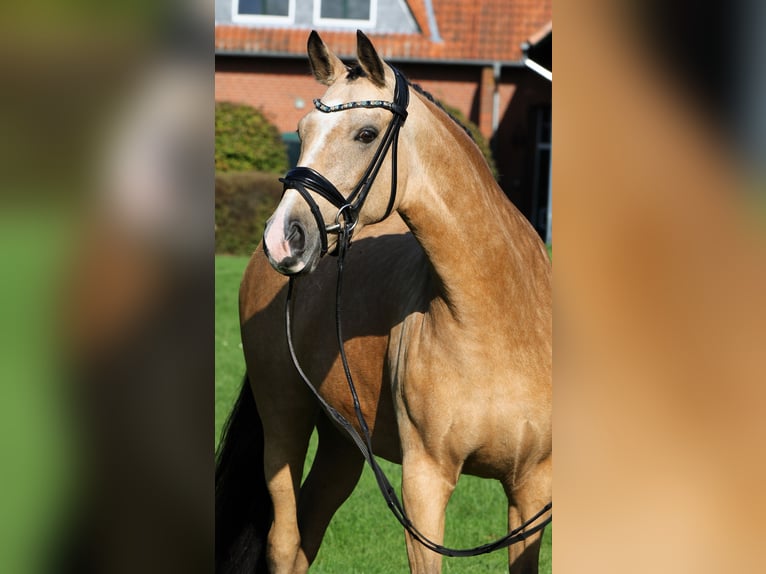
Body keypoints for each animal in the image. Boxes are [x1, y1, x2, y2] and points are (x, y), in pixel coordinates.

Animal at [216, 31, 552, 574]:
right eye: (302, 131)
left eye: (366, 134)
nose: (283, 237)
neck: (499, 320)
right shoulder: (424, 484)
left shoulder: (531, 490)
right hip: (284, 420)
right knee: (284, 541)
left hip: (343, 444)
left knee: (308, 533)